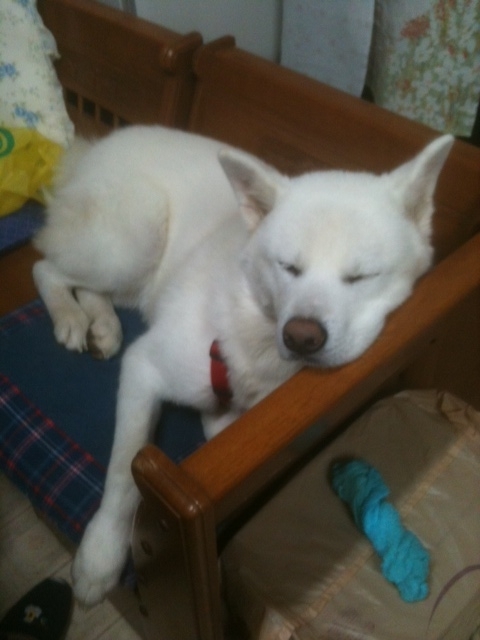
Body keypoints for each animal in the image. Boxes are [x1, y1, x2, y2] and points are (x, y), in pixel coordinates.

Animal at [33, 125, 453, 605]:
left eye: (360, 277)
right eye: (288, 267)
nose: (301, 336)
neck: (256, 332)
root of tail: (97, 147)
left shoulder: (230, 415)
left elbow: (218, 430)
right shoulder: (144, 369)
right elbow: (124, 471)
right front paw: (100, 556)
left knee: (91, 287)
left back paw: (102, 325)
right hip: (132, 241)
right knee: (47, 267)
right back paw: (69, 316)